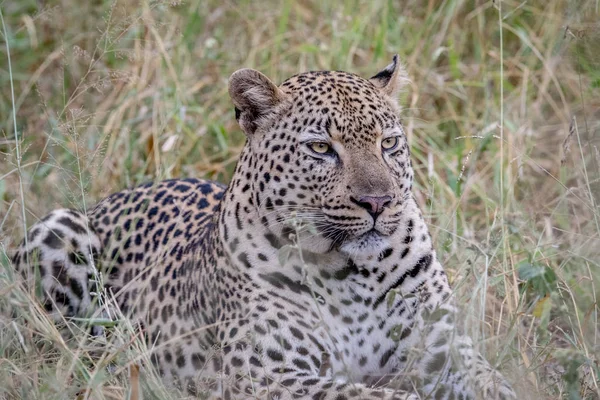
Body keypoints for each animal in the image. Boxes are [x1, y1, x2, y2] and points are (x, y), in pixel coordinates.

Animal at [11, 56, 516, 400]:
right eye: (320, 148)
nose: (378, 202)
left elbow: (494, 382)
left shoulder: (444, 353)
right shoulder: (270, 376)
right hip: (60, 230)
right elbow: (376, 395)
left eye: (389, 143)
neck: (353, 272)